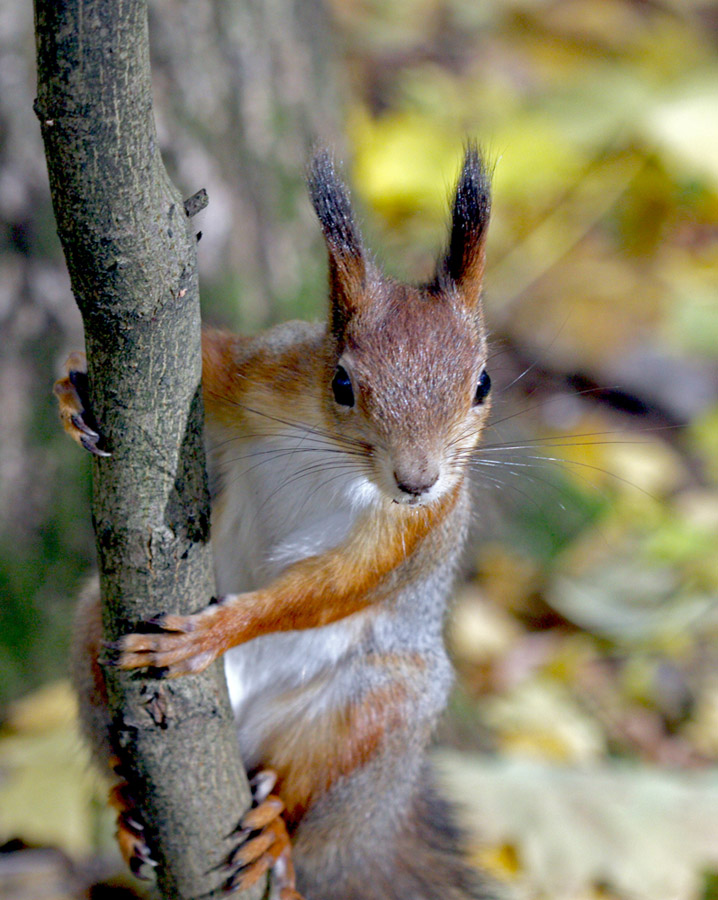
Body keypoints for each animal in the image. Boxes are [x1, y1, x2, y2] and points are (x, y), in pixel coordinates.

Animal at [57, 146, 497, 900]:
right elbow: (209, 355)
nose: (417, 480)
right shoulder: (258, 369)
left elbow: (332, 587)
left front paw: (216, 630)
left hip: (382, 710)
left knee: (306, 783)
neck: (337, 457)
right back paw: (124, 807)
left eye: (483, 385)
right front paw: (69, 387)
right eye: (342, 383)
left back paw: (276, 833)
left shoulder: (417, 529)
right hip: (93, 632)